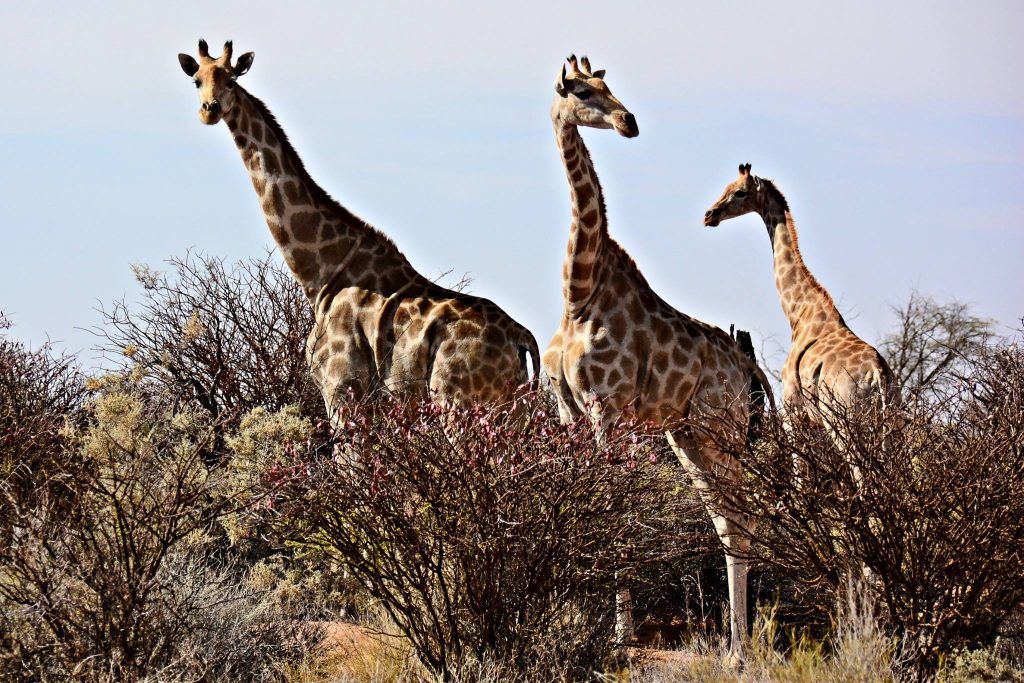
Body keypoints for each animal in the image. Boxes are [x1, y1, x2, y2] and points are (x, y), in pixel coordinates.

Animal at [177, 41, 540, 411]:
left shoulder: (341, 385)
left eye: (231, 79)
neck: (320, 275)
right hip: (510, 406)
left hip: (457, 398)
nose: (209, 110)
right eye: (197, 80)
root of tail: (522, 337)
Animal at [540, 57, 770, 651]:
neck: (578, 292)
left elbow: (614, 501)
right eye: (581, 90)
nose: (629, 121)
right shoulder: (568, 408)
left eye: (607, 85)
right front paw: (566, 609)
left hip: (721, 427)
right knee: (722, 516)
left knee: (740, 518)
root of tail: (747, 368)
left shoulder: (608, 405)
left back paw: (739, 648)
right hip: (685, 434)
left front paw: (621, 632)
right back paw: (736, 641)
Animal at [704, 165, 897, 417]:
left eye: (740, 193)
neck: (800, 315)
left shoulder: (792, 404)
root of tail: (878, 375)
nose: (709, 215)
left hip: (843, 413)